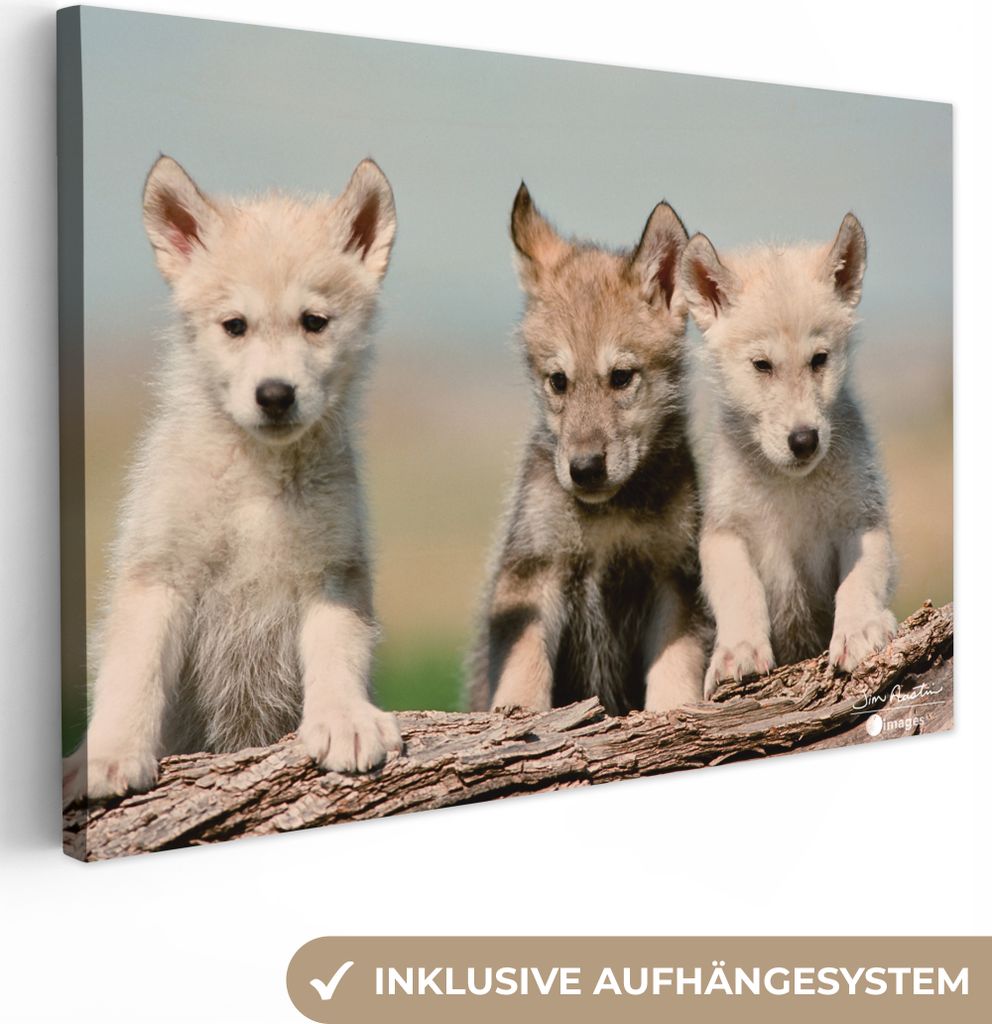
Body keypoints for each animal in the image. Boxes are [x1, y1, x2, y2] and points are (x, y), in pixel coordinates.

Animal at [64, 155, 403, 802]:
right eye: (235, 325)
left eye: (314, 322)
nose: (274, 395)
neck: (257, 479)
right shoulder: (158, 573)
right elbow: (133, 672)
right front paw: (110, 752)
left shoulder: (333, 573)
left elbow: (337, 652)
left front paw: (344, 719)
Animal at [468, 185, 706, 715]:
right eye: (558, 381)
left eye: (621, 378)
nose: (585, 469)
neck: (607, 517)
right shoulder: (534, 571)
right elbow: (523, 667)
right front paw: (516, 718)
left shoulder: (674, 576)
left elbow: (677, 664)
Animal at [680, 213, 897, 697]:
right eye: (762, 365)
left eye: (819, 359)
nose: (804, 440)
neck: (790, 486)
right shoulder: (724, 532)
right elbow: (739, 590)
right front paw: (739, 650)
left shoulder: (862, 520)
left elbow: (859, 580)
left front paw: (860, 630)